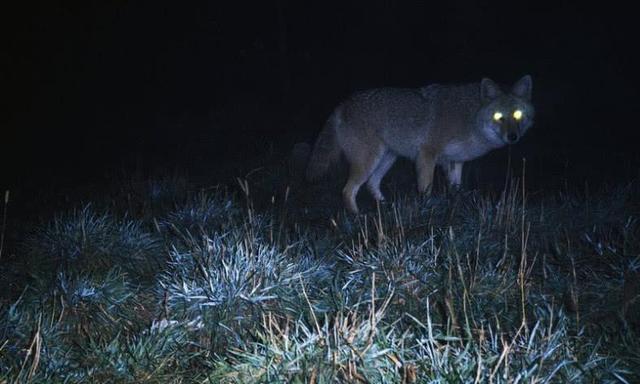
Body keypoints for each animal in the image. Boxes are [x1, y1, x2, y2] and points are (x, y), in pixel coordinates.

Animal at [308, 75, 532, 213]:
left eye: (517, 115)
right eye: (498, 117)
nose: (513, 137)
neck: (470, 118)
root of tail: (342, 104)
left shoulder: (455, 161)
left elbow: (456, 188)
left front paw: (456, 205)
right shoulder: (427, 155)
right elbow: (426, 188)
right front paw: (426, 210)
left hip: (387, 159)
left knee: (372, 184)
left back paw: (386, 207)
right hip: (369, 162)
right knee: (348, 190)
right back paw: (357, 216)